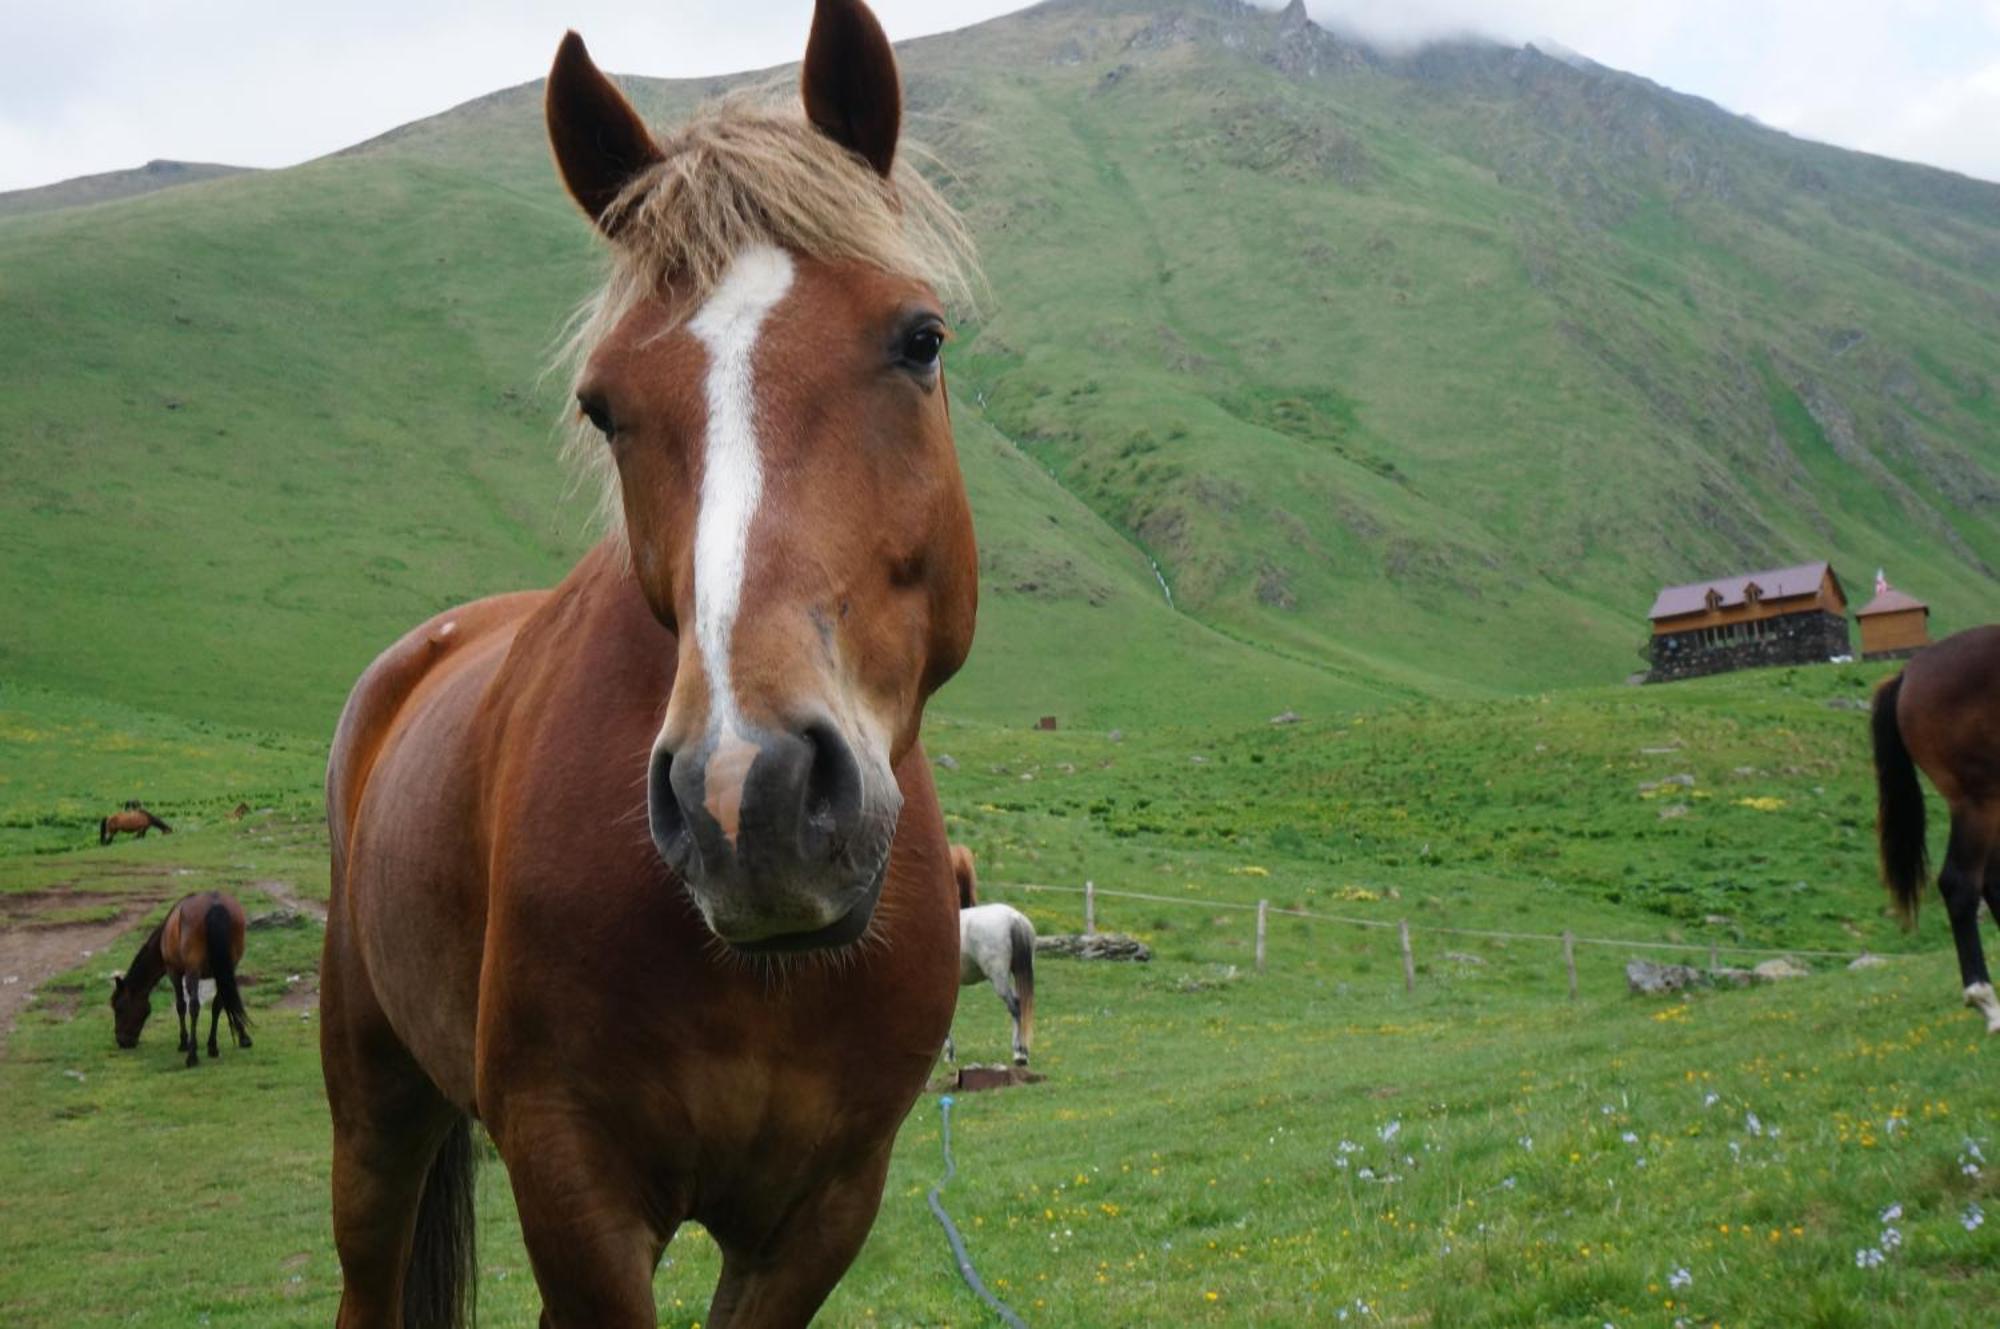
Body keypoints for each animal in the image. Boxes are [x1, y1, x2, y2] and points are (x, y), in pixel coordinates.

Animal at [111, 892, 254, 1072]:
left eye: (119, 1008)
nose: (122, 1041)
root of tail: (215, 903)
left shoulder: (175, 972)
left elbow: (181, 1006)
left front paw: (184, 1042)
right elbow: (225, 1002)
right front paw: (243, 1037)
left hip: (193, 970)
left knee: (194, 1006)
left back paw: (192, 1056)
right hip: (228, 966)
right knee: (219, 1002)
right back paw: (212, 1046)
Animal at [316, 2, 980, 1329]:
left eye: (919, 339)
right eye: (601, 406)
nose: (747, 798)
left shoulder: (825, 1208)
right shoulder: (570, 1175)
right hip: (374, 1107)